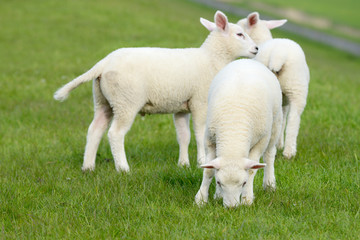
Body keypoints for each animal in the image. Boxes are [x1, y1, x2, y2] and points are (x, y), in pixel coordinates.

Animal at [52, 10, 258, 172]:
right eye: (240, 34)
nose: (256, 49)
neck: (212, 58)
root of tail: (104, 62)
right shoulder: (200, 102)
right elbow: (199, 134)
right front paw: (201, 161)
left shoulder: (181, 106)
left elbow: (184, 136)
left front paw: (183, 164)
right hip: (126, 101)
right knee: (115, 134)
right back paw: (123, 168)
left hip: (103, 100)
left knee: (95, 129)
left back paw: (88, 167)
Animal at [194, 59, 282, 207]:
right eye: (219, 182)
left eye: (244, 183)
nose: (231, 208)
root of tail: (247, 60)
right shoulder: (210, 140)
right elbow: (209, 170)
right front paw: (201, 199)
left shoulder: (260, 142)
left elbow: (252, 170)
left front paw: (247, 199)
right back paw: (218, 195)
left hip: (275, 126)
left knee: (269, 155)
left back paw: (269, 184)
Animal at [238, 13, 310, 159]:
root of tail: (278, 55)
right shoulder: (284, 101)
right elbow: (283, 120)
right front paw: (280, 144)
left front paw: (278, 143)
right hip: (296, 87)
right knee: (293, 120)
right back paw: (288, 152)